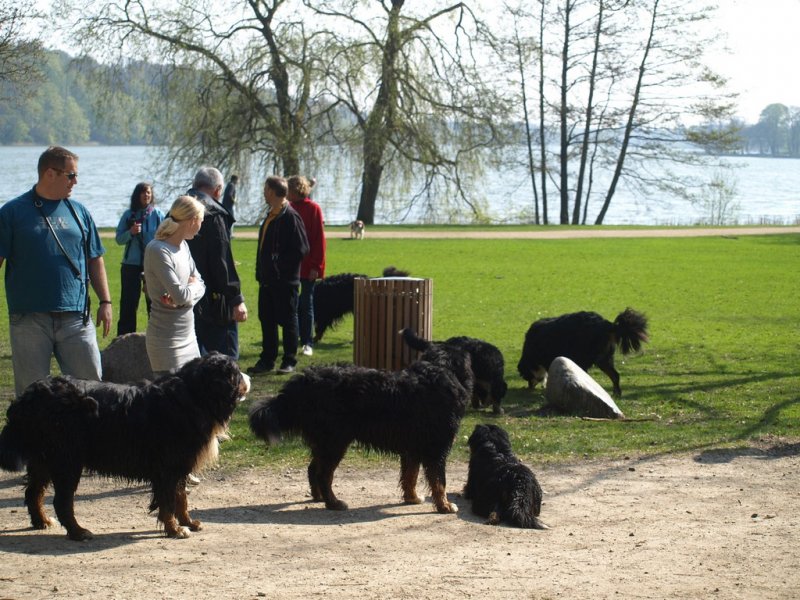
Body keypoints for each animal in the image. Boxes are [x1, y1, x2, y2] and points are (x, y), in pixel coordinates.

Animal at [0, 353, 250, 540]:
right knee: (62, 501)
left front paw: (188, 522)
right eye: (236, 373)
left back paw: (41, 521)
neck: (192, 396)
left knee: (34, 492)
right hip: (66, 460)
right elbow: (168, 500)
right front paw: (175, 529)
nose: (248, 377)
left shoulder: (179, 464)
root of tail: (29, 394)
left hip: (43, 458)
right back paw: (78, 532)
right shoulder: (168, 467)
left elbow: (181, 498)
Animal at [249, 345, 473, 514]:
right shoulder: (437, 449)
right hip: (334, 441)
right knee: (323, 474)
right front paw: (444, 505)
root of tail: (305, 380)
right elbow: (439, 482)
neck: (441, 372)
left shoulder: (413, 449)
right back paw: (333, 503)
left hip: (325, 442)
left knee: (313, 469)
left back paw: (320, 497)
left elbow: (410, 476)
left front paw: (412, 497)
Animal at [517, 307, 649, 396]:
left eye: (526, 376)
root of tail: (607, 325)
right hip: (603, 359)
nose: (528, 388)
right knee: (615, 375)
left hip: (585, 359)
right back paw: (616, 393)